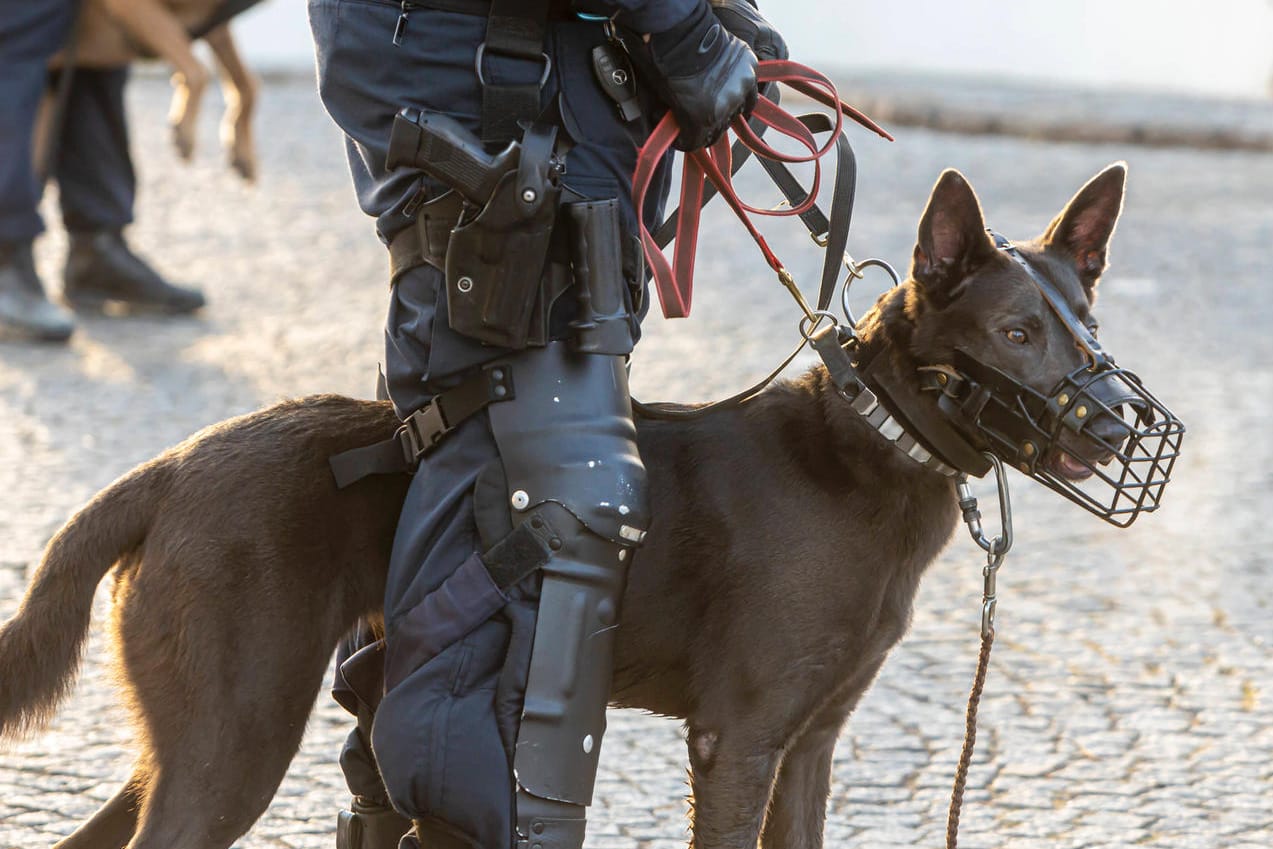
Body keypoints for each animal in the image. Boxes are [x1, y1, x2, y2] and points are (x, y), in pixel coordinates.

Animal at [0, 164, 1130, 849]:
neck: (869, 441)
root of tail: (173, 465)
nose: (1120, 426)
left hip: (199, 730)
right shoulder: (737, 739)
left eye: (1087, 319)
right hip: (236, 734)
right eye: (1019, 334)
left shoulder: (809, 749)